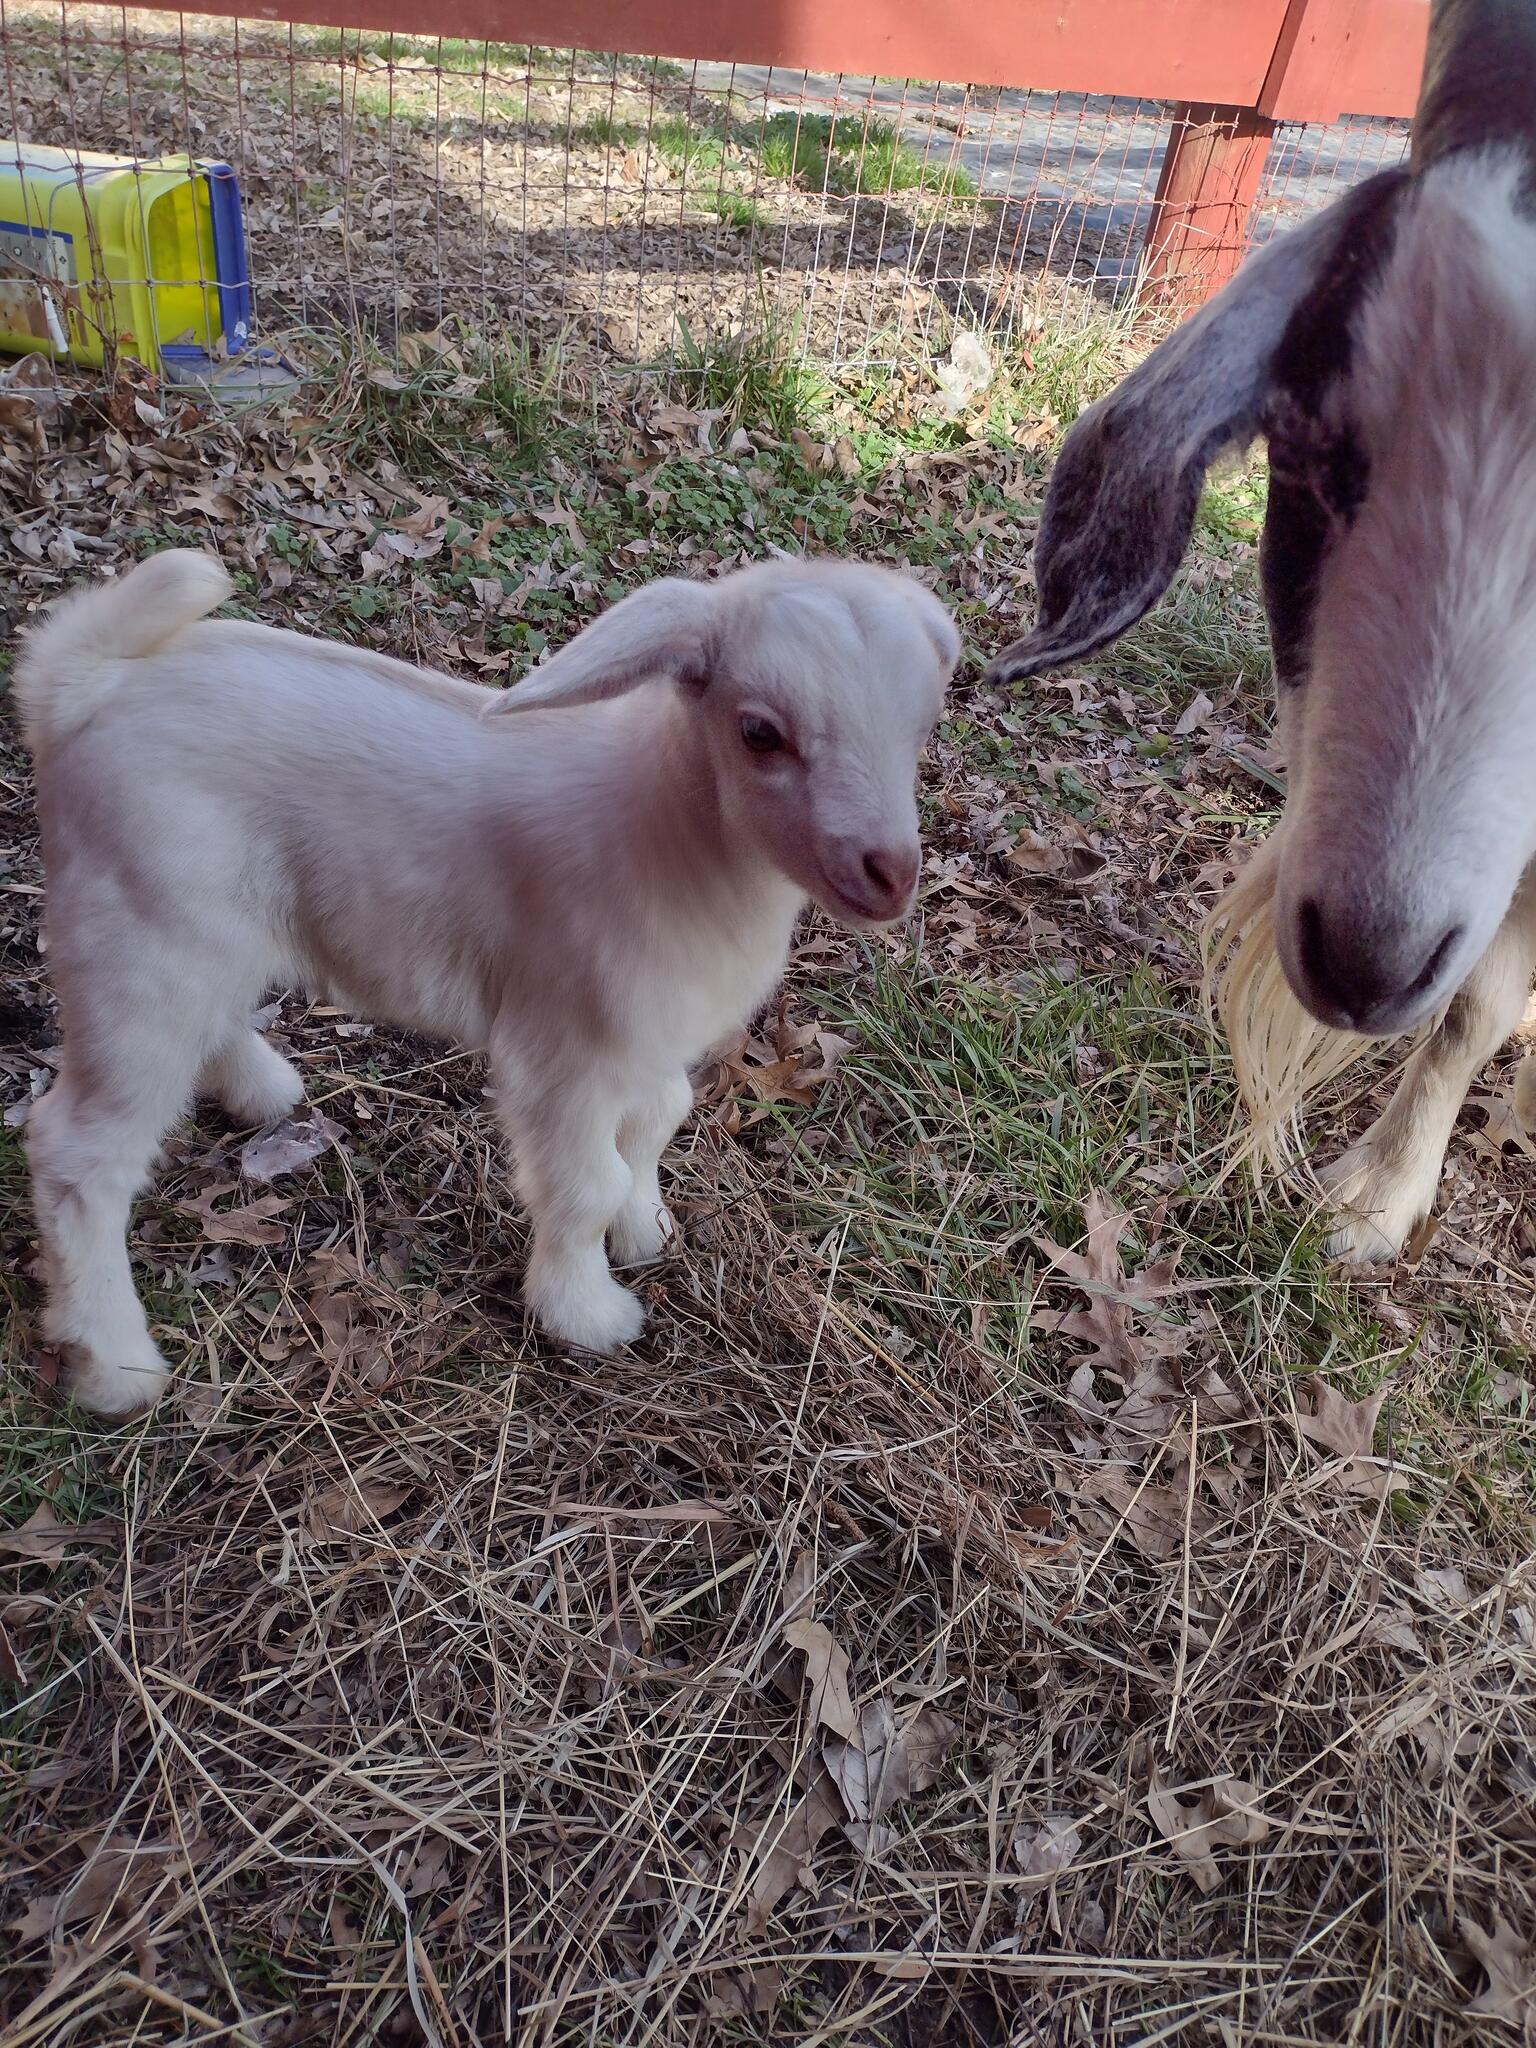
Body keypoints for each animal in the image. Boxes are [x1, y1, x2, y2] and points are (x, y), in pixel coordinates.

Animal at [16, 549, 958, 1415]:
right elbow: (584, 1183)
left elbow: (657, 1122)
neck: (672, 829)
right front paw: (587, 1314)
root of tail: (80, 683)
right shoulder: (566, 1048)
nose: (890, 875)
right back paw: (114, 1367)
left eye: (922, 726)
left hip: (196, 936)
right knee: (76, 1153)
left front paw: (645, 1228)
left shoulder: (646, 1035)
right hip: (139, 939)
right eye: (760, 731)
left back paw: (260, 1089)